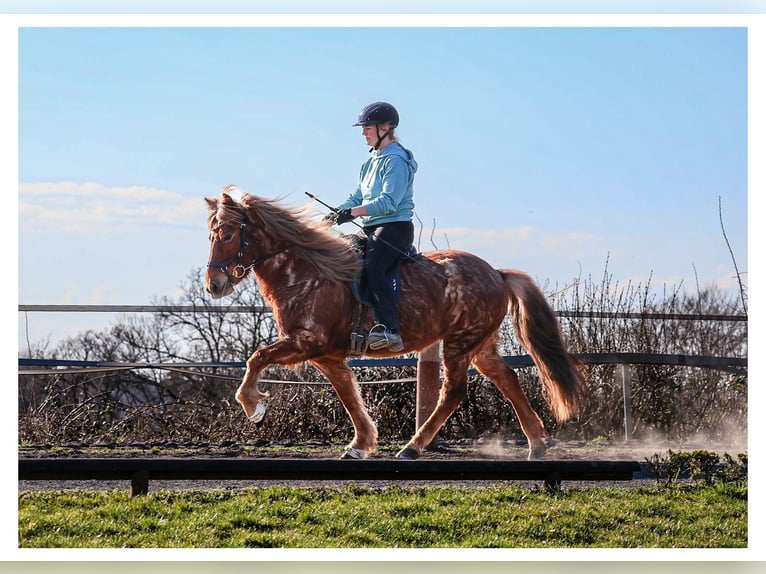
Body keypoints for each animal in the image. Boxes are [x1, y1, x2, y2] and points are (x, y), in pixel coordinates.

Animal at [204, 185, 586, 460]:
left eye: (227, 235)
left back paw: (413, 447)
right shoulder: (326, 355)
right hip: (479, 345)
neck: (309, 273)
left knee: (454, 392)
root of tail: (496, 272)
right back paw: (536, 445)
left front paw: (253, 405)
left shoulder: (306, 341)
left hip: (460, 344)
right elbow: (348, 395)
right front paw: (360, 444)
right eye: (211, 236)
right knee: (507, 379)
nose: (214, 286)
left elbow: (257, 358)